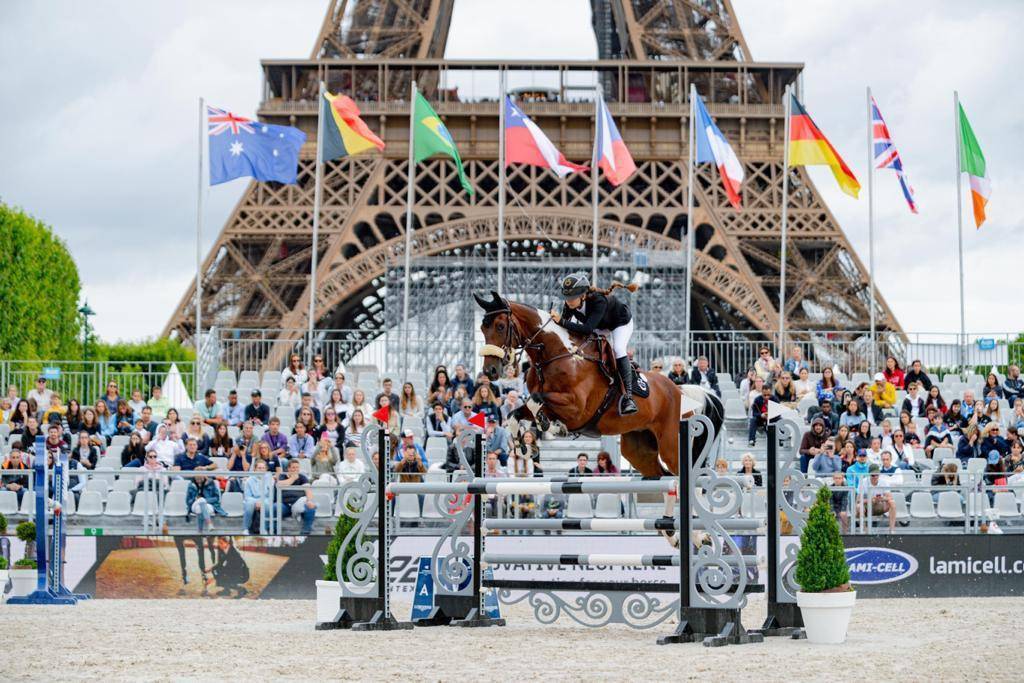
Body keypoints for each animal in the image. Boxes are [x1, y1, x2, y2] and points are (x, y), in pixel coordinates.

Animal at [473, 291, 724, 481]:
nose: (490, 371)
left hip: (671, 445)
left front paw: (553, 427)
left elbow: (536, 401)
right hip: (639, 448)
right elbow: (515, 414)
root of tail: (680, 391)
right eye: (483, 328)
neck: (554, 355)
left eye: (500, 326)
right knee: (660, 474)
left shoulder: (576, 409)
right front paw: (524, 447)